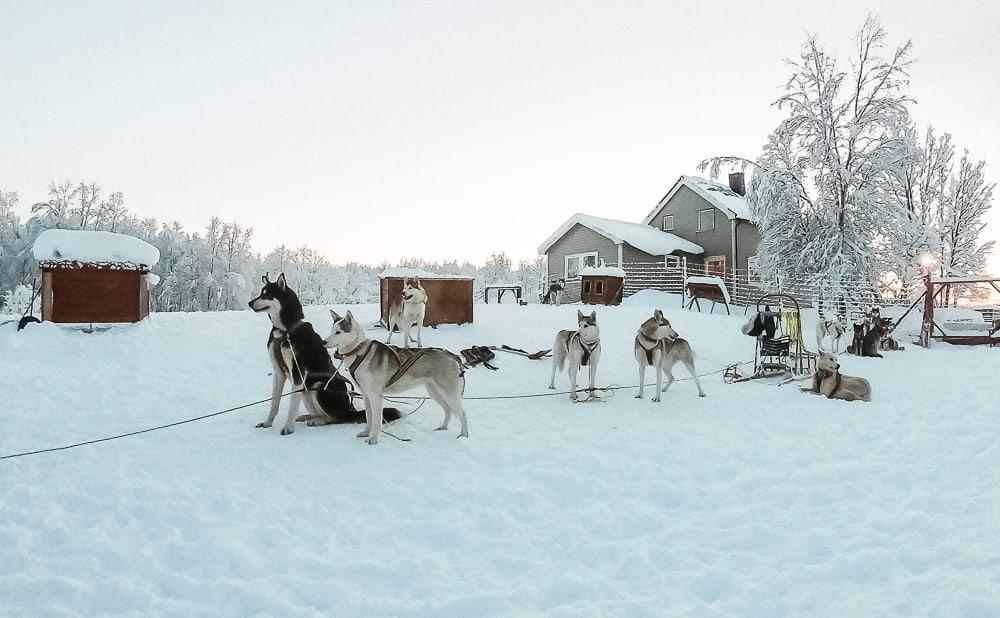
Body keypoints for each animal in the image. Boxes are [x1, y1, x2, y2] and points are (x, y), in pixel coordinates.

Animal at [248, 272, 400, 436]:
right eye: (261, 293)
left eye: (267, 294)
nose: (250, 303)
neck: (284, 331)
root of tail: (349, 409)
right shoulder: (278, 371)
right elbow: (274, 402)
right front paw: (267, 423)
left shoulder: (298, 372)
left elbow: (292, 405)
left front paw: (288, 427)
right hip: (306, 390)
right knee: (320, 412)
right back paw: (310, 417)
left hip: (319, 385)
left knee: (337, 418)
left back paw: (318, 420)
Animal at [328, 308, 468, 442]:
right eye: (331, 331)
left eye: (338, 332)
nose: (324, 342)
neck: (359, 351)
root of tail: (452, 356)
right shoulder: (366, 395)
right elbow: (369, 418)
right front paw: (366, 433)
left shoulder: (376, 396)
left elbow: (376, 421)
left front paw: (373, 439)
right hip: (435, 393)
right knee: (448, 410)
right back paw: (443, 427)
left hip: (449, 394)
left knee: (462, 413)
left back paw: (463, 435)